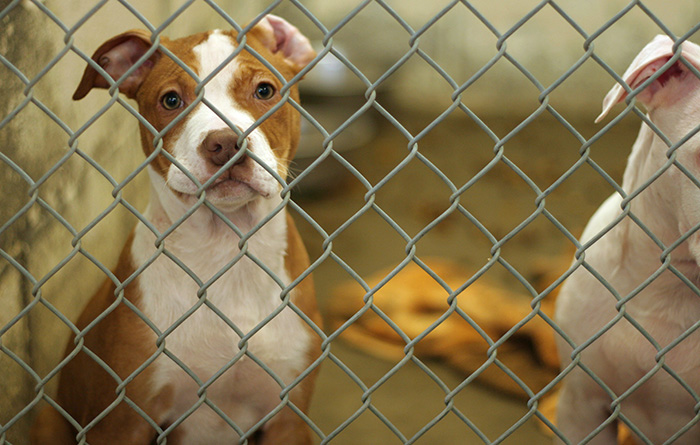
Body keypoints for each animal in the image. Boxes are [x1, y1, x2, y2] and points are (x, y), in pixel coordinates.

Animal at [30, 13, 320, 444]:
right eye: (171, 100)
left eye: (265, 90)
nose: (225, 144)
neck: (224, 249)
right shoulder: (123, 420)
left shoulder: (289, 417)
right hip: (50, 419)